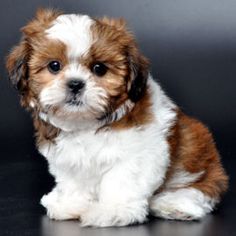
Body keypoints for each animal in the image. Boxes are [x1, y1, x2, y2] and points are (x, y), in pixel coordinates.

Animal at [6, 8, 228, 227]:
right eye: (54, 66)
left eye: (99, 68)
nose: (75, 84)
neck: (86, 122)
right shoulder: (68, 156)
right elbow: (74, 179)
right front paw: (72, 204)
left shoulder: (138, 151)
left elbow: (122, 181)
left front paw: (112, 211)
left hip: (201, 166)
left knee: (201, 190)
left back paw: (174, 204)